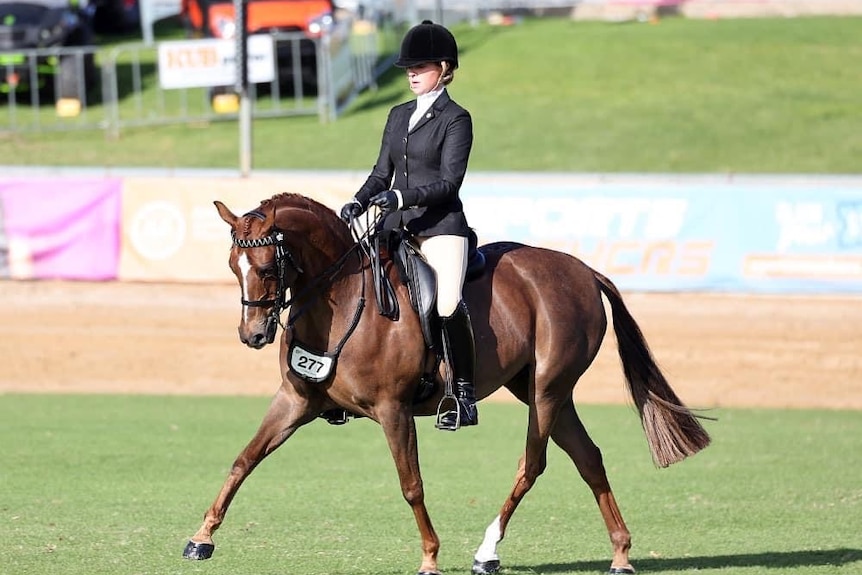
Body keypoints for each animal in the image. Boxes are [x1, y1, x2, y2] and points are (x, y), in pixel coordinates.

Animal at [181, 194, 708, 575]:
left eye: (269, 267)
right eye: (232, 265)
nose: (253, 335)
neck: (343, 301)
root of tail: (583, 270)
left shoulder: (392, 410)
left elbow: (411, 484)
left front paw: (430, 557)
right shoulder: (295, 400)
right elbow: (245, 459)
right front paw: (201, 538)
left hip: (547, 390)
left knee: (533, 463)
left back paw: (488, 550)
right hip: (542, 391)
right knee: (588, 458)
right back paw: (620, 554)